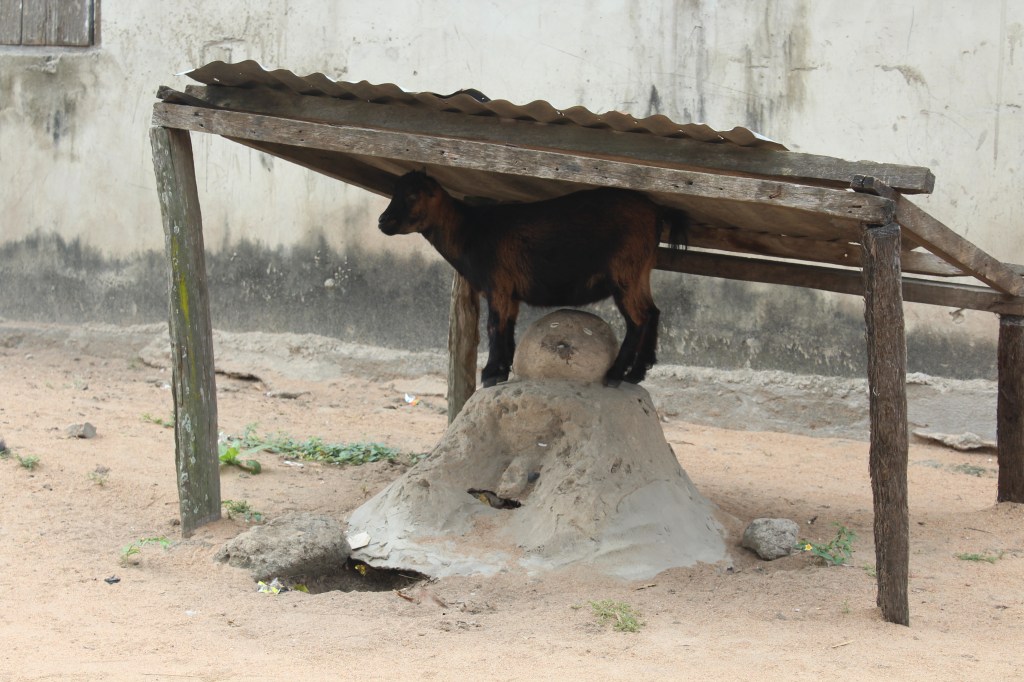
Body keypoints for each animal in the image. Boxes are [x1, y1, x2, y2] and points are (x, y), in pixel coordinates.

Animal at [377, 171, 686, 388]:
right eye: (395, 192)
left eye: (413, 195)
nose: (382, 221)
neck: (469, 231)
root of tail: (657, 213)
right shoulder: (510, 292)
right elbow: (508, 326)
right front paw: (504, 368)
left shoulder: (498, 285)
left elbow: (493, 325)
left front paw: (490, 373)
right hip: (639, 272)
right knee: (653, 311)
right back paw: (638, 371)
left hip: (625, 273)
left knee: (638, 319)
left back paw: (616, 373)